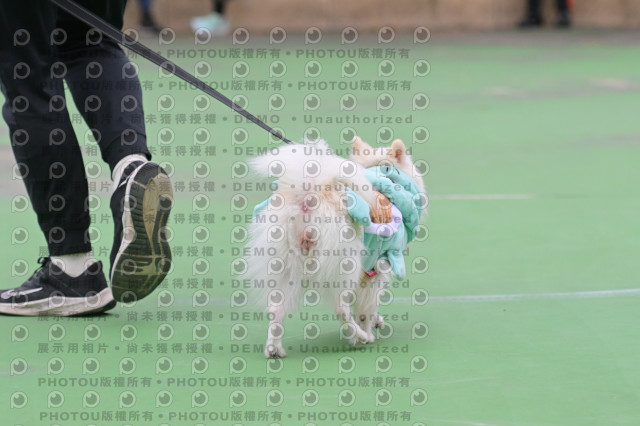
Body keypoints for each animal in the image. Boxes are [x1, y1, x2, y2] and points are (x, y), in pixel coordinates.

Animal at [245, 136, 425, 358]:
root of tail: (310, 198)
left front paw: (376, 321)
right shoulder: (377, 267)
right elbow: (368, 306)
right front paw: (369, 329)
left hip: (286, 265)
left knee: (276, 309)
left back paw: (274, 349)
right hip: (345, 263)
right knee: (341, 308)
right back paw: (360, 337)